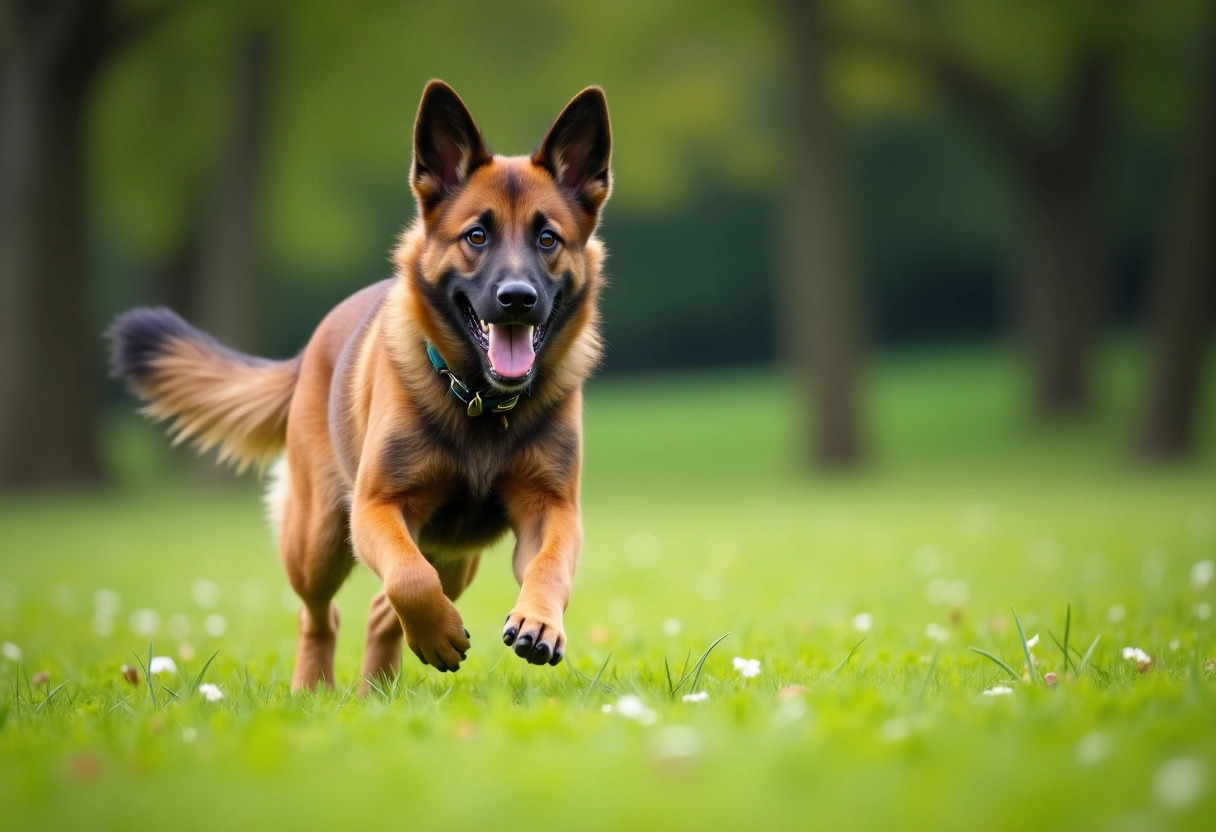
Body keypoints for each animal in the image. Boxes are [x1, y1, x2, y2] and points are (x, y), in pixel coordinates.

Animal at [109, 79, 612, 690]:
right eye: (476, 236)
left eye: (547, 239)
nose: (517, 298)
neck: (480, 403)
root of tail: (308, 352)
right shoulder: (375, 509)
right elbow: (407, 579)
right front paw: (436, 634)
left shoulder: (552, 511)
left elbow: (548, 565)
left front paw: (538, 621)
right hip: (320, 539)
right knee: (324, 613)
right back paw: (316, 689)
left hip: (455, 556)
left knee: (382, 609)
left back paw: (378, 689)